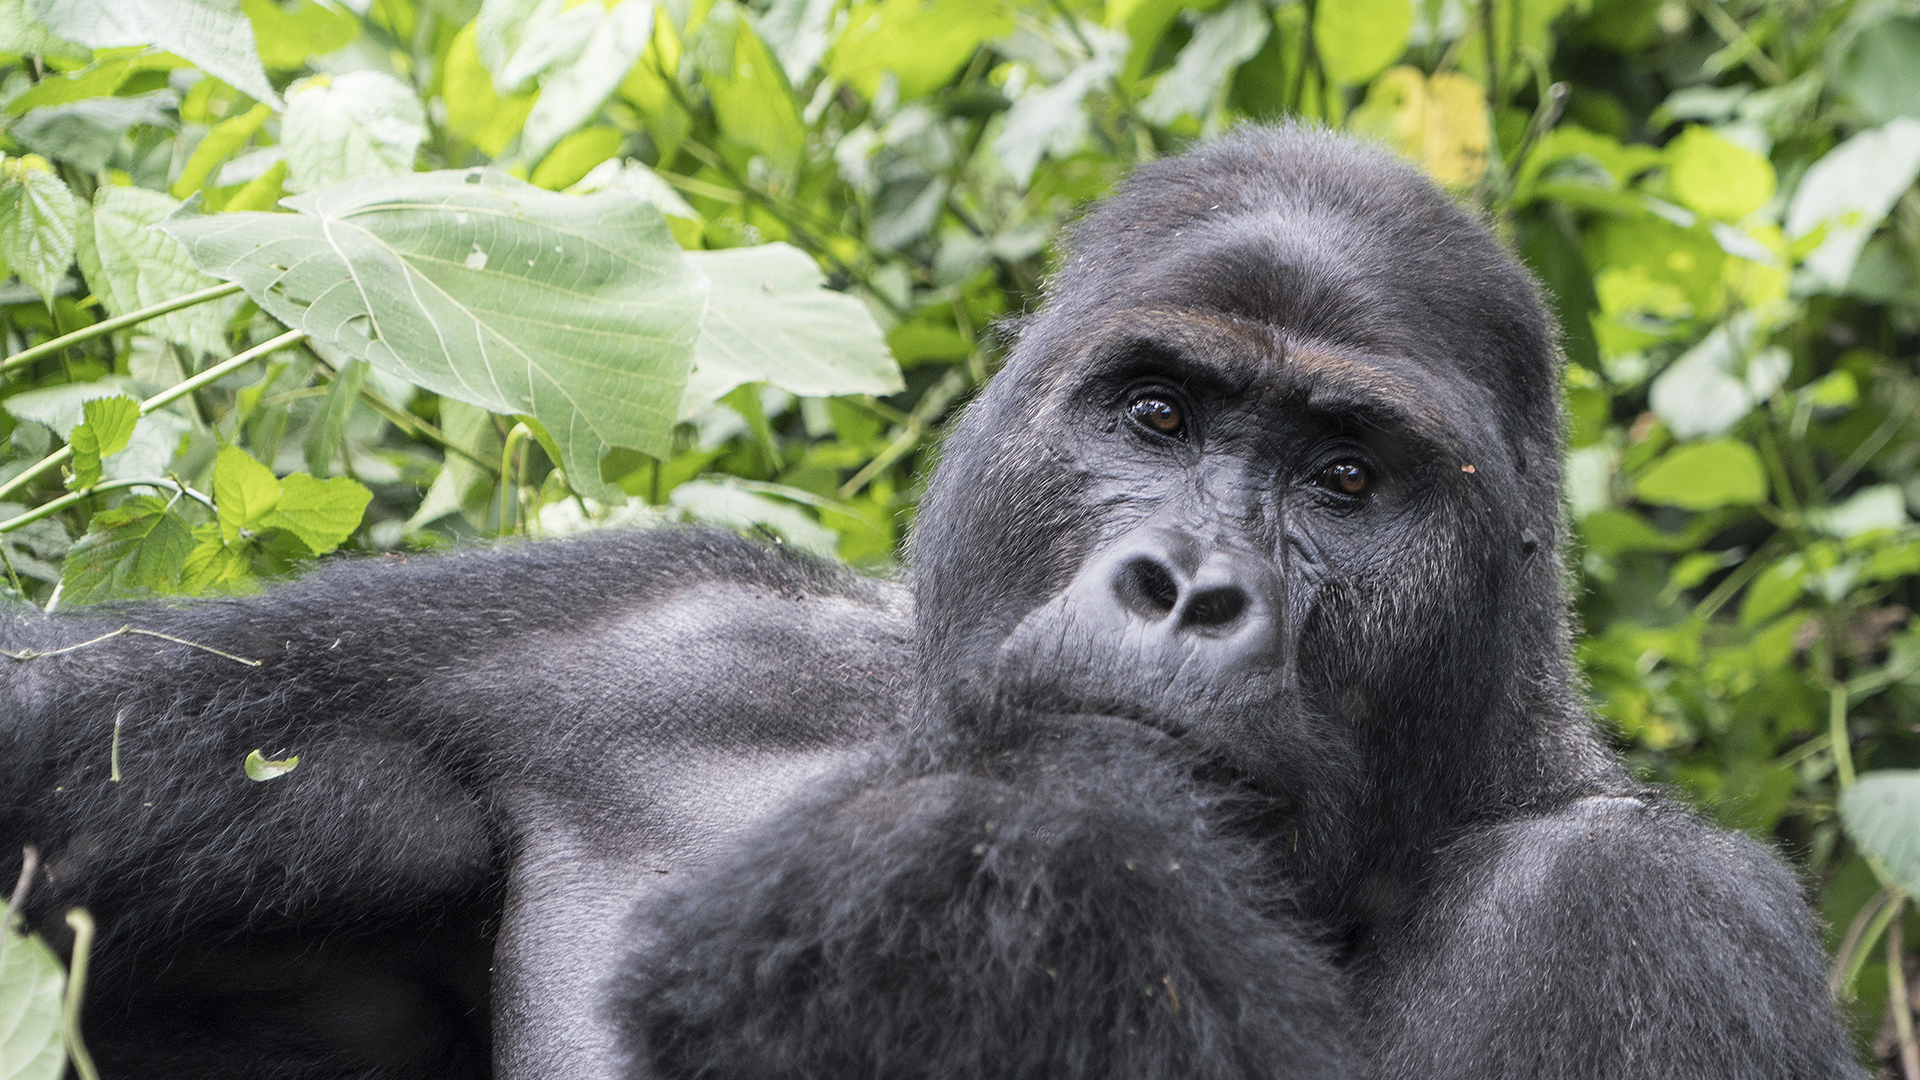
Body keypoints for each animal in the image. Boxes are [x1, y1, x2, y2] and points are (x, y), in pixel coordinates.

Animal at [0, 127, 1858, 1076]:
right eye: (1157, 416)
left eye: (1345, 480)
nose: (1186, 589)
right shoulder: (630, 635)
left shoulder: (1643, 915)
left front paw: (982, 901)